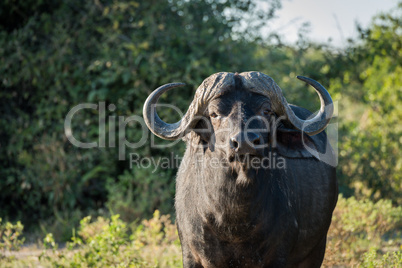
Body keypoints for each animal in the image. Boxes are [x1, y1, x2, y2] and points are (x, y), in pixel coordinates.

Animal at [143, 71, 338, 268]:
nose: (245, 142)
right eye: (214, 114)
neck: (234, 219)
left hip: (316, 249)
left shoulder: (278, 256)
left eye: (266, 111)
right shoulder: (191, 256)